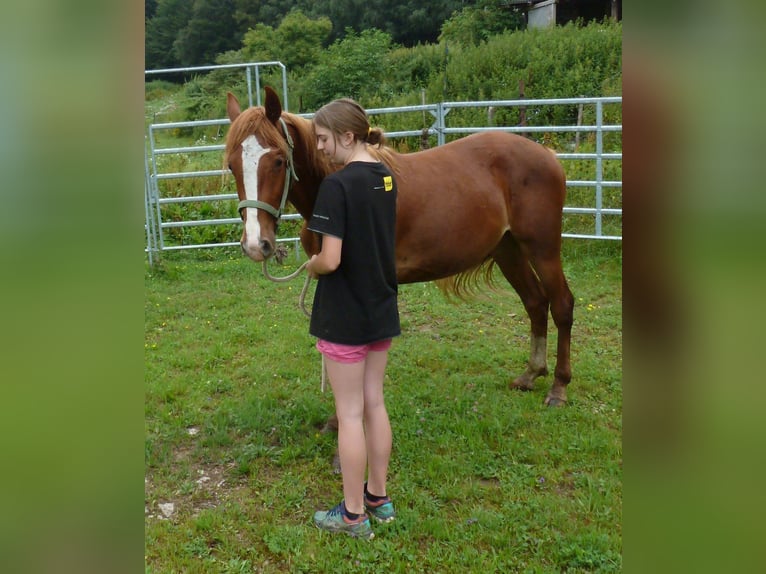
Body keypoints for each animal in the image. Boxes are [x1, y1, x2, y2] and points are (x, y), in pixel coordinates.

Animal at [225, 86, 574, 407]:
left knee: (561, 305)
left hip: (542, 250)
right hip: (508, 250)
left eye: (279, 161)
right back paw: (531, 374)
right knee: (535, 303)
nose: (256, 244)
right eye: (231, 165)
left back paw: (558, 387)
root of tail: (547, 155)